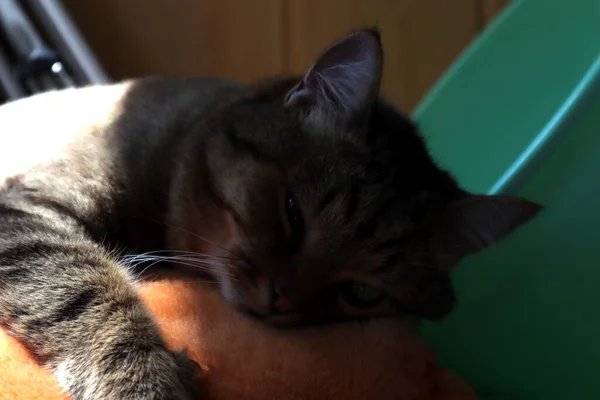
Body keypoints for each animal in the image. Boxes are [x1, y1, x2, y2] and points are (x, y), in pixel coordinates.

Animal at [0, 28, 540, 400]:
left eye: (363, 293)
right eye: (292, 213)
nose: (279, 300)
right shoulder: (27, 211)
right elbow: (86, 290)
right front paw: (146, 381)